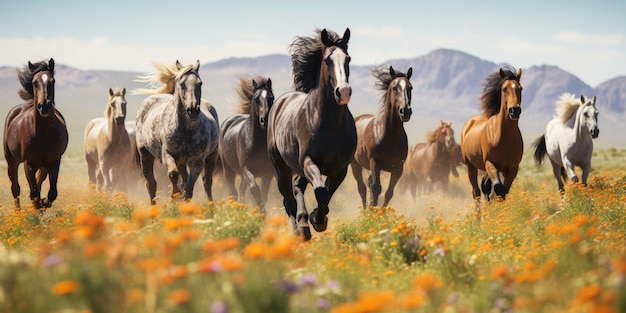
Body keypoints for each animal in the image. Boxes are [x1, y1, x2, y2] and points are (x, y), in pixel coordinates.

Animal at [3, 58, 67, 210]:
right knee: (15, 188)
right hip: (11, 160)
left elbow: (51, 193)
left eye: (53, 81)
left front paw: (43, 204)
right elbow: (34, 193)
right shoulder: (29, 164)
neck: (43, 134)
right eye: (34, 83)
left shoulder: (54, 162)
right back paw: (18, 212)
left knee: (38, 183)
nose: (44, 106)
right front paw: (38, 206)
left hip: (43, 165)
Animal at [133, 60, 218, 204]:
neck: (186, 131)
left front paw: (182, 199)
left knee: (207, 181)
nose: (192, 110)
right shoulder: (167, 154)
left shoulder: (197, 162)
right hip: (145, 155)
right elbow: (173, 174)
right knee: (151, 184)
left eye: (200, 83)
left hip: (211, 156)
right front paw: (175, 195)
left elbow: (189, 188)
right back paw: (154, 207)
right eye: (181, 84)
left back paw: (211, 205)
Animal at [219, 76, 272, 211]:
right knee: (233, 192)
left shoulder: (268, 173)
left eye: (271, 97)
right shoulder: (246, 169)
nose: (265, 120)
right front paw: (261, 211)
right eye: (256, 98)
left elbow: (264, 193)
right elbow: (254, 188)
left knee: (241, 189)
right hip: (229, 171)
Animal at [348, 65, 412, 207]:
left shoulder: (398, 169)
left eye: (410, 88)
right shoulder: (375, 163)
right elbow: (376, 188)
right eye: (394, 87)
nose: (405, 111)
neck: (389, 135)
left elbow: (389, 192)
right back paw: (365, 209)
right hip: (355, 165)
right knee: (362, 188)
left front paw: (381, 211)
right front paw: (373, 211)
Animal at [458, 67, 520, 201]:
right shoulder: (490, 163)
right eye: (504, 89)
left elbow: (504, 191)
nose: (514, 110)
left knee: (484, 185)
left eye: (520, 88)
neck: (504, 137)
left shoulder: (512, 169)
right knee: (476, 191)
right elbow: (498, 188)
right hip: (471, 165)